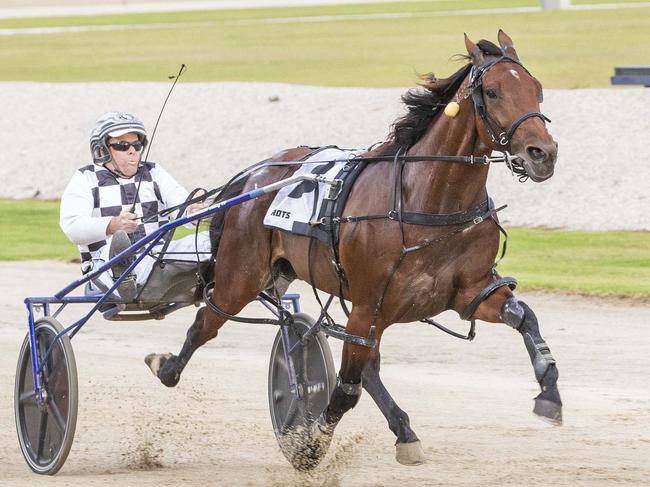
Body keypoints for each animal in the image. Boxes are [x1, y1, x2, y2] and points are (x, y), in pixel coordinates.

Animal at [144, 29, 560, 466]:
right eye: (493, 92)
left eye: (537, 89)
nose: (542, 154)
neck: (426, 200)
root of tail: (255, 175)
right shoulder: (367, 304)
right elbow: (344, 390)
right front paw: (309, 444)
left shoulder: (467, 292)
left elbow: (524, 317)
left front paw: (549, 391)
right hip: (241, 276)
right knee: (206, 322)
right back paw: (166, 367)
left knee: (367, 367)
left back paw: (404, 430)